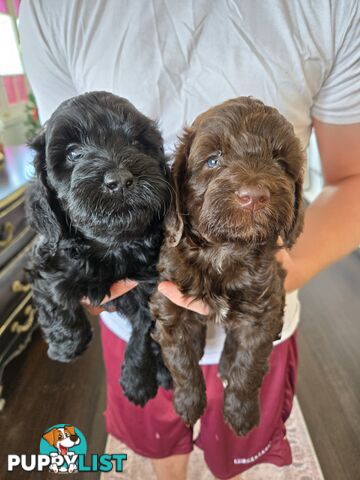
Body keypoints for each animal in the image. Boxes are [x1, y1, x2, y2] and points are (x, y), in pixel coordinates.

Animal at [26, 91, 172, 404]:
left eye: (136, 143)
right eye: (73, 153)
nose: (120, 180)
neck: (111, 246)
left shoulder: (153, 284)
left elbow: (144, 332)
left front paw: (137, 381)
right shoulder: (49, 254)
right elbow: (54, 294)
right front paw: (67, 346)